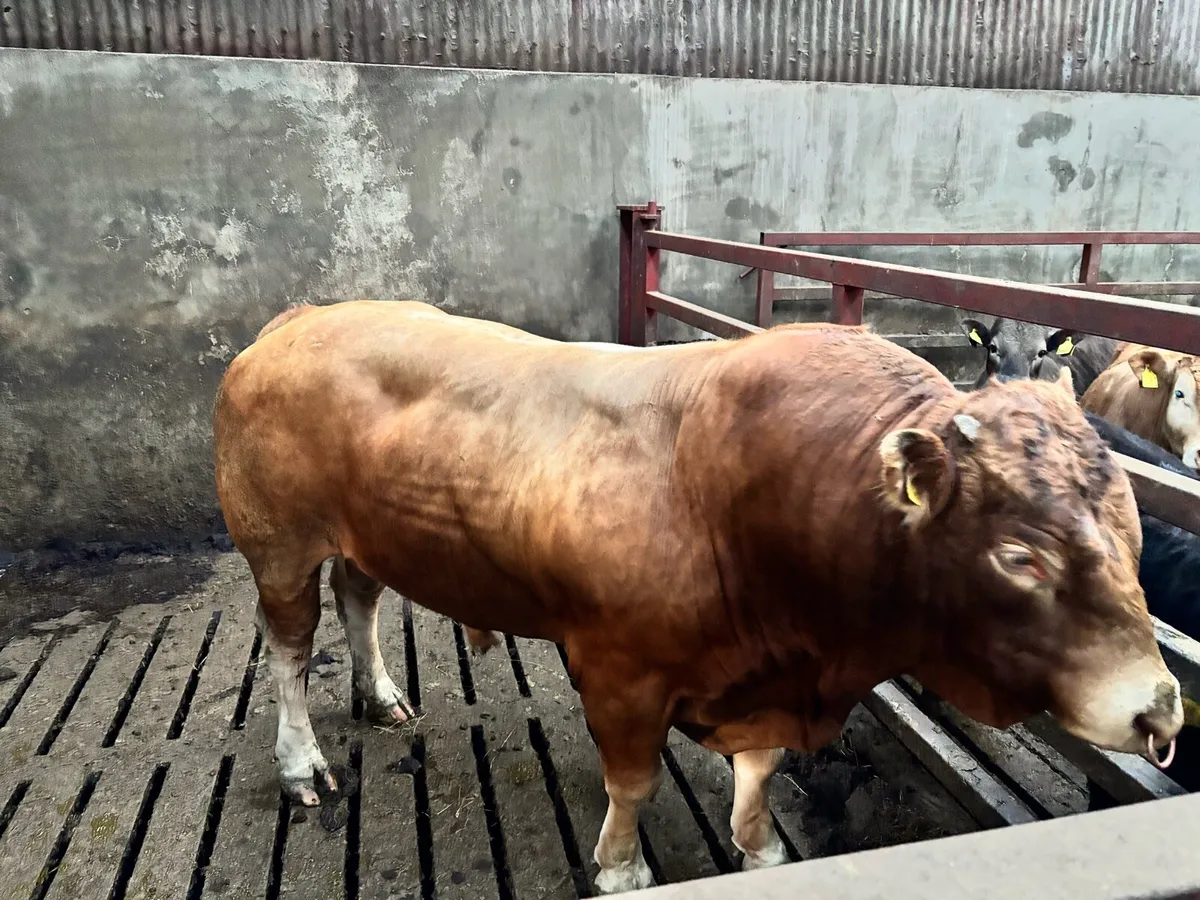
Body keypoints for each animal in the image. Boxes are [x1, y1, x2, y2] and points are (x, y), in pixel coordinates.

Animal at [213, 301, 1182, 894]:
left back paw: (380, 695)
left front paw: (759, 849)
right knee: (290, 650)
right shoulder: (619, 672)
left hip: (362, 538)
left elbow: (757, 780)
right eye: (1020, 555)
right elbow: (634, 782)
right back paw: (300, 763)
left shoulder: (767, 685)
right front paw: (620, 868)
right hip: (280, 546)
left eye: (1137, 535)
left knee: (360, 600)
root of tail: (301, 319)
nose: (1160, 707)